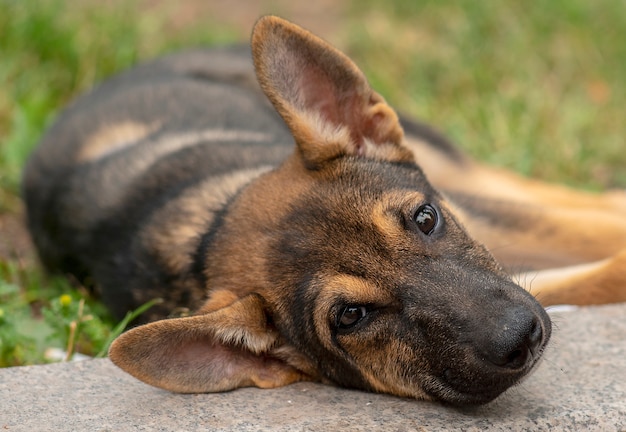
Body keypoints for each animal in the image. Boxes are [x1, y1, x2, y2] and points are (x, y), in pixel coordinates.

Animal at [20, 14, 624, 404]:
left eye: (425, 219)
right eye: (350, 316)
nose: (522, 336)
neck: (209, 224)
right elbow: (598, 276)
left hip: (461, 176)